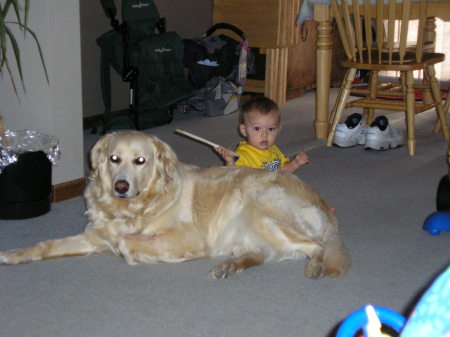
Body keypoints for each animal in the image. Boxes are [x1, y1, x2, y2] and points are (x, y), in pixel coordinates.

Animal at [0, 130, 352, 276]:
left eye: (140, 160)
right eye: (114, 158)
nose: (120, 186)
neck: (136, 206)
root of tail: (324, 205)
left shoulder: (189, 237)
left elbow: (126, 242)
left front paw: (131, 248)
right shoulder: (92, 235)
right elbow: (45, 246)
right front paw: (11, 254)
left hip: (257, 208)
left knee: (316, 247)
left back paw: (316, 266)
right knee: (262, 254)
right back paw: (230, 265)